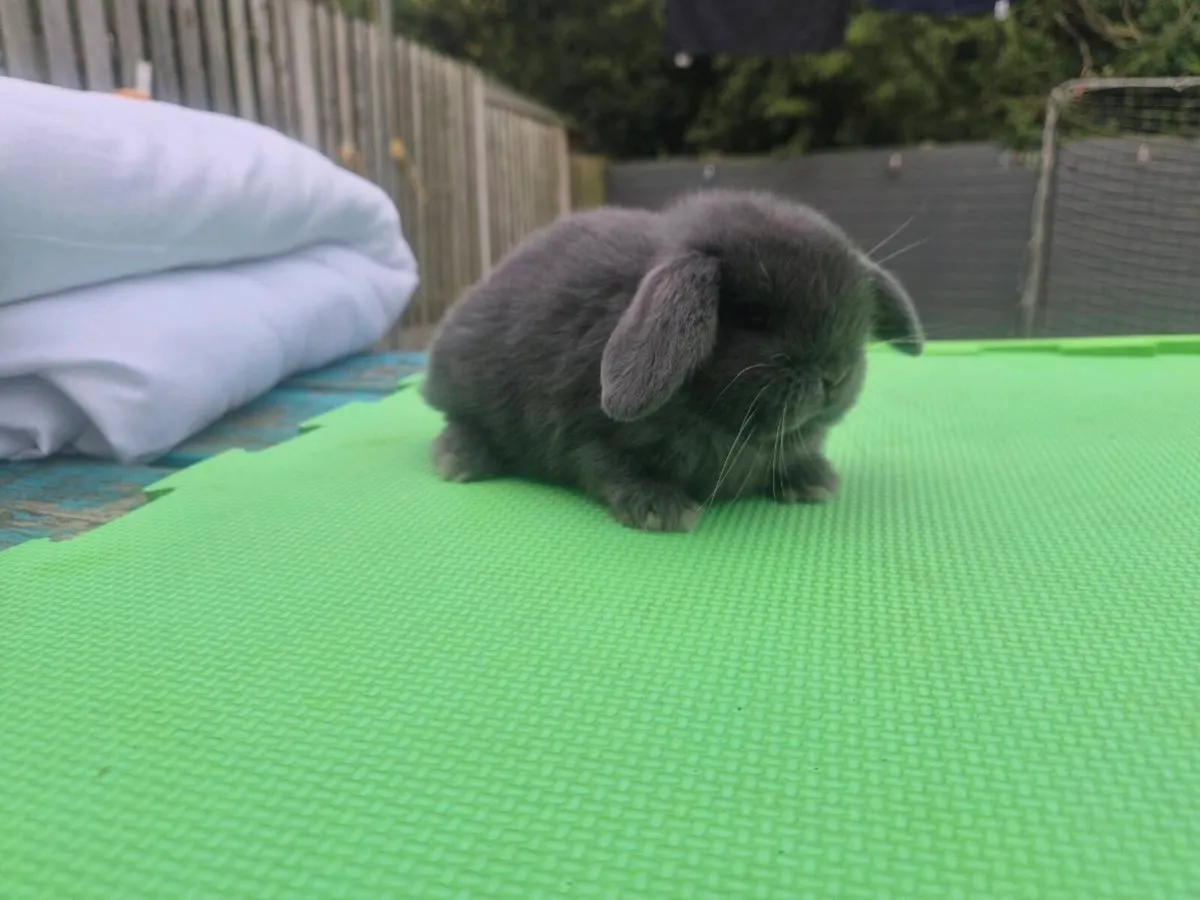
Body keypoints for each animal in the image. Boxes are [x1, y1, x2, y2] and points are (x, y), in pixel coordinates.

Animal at [421, 189, 924, 532]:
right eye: (755, 317)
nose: (835, 375)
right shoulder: (583, 431)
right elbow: (607, 466)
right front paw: (660, 508)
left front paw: (812, 480)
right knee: (458, 422)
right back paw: (461, 460)